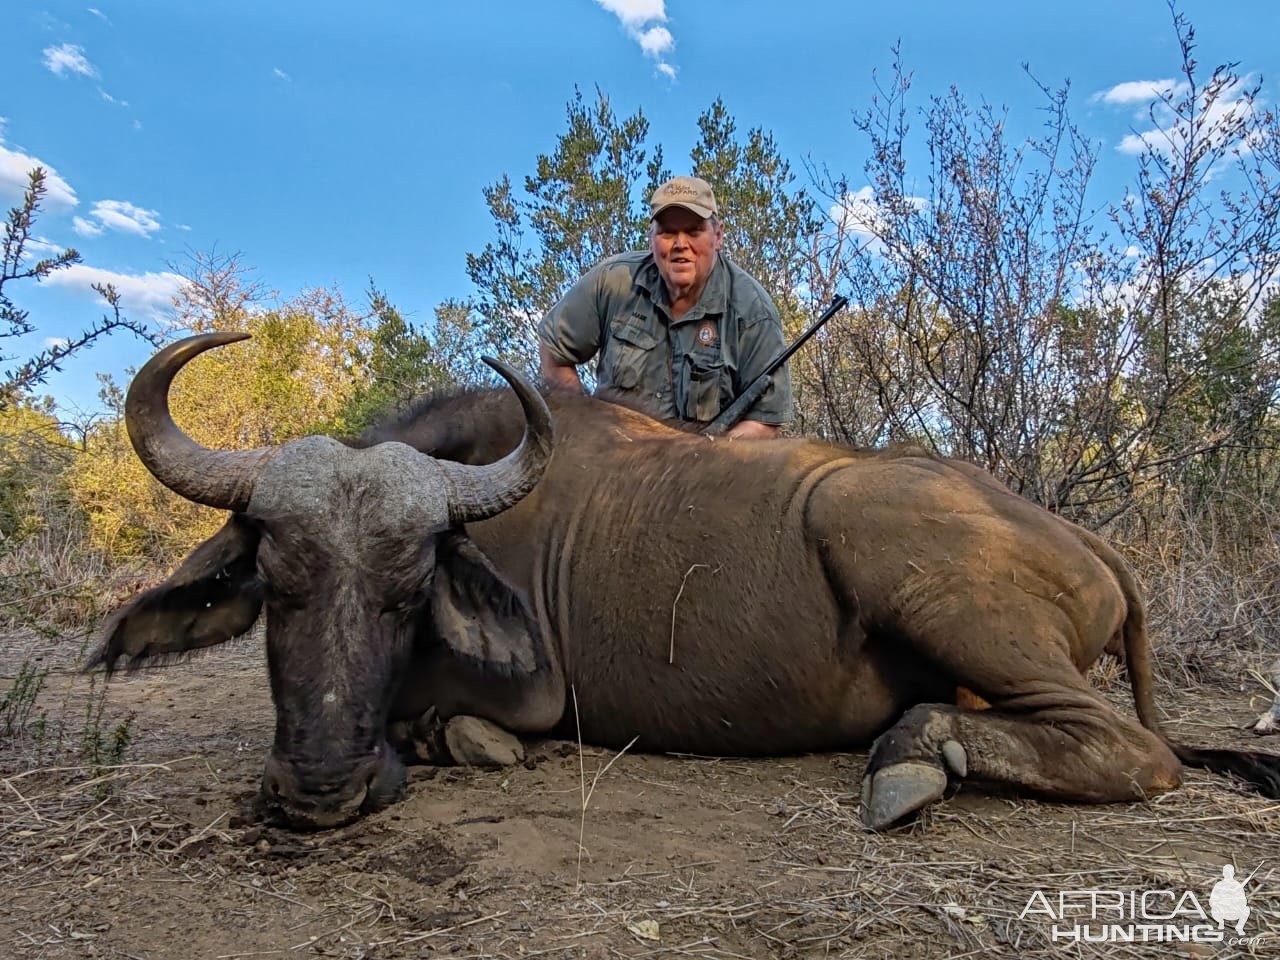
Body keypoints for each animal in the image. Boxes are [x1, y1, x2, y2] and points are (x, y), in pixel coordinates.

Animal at [90, 335, 1280, 829]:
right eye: (277, 582)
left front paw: (453, 741)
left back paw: (915, 757)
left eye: (407, 585)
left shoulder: (532, 697)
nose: (320, 790)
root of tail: (1085, 542)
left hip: (879, 537)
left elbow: (456, 722)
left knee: (1139, 751)